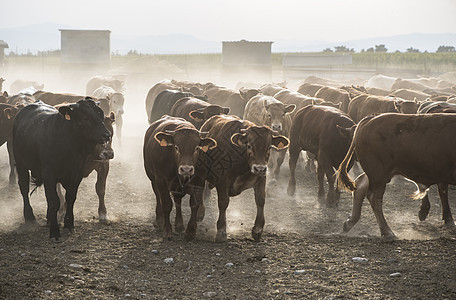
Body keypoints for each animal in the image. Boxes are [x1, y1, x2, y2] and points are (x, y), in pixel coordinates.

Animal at [13, 98, 111, 239]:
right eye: (86, 118)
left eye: (100, 115)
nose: (107, 134)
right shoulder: (49, 173)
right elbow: (55, 201)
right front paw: (54, 231)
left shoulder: (76, 173)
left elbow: (70, 198)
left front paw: (69, 224)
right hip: (21, 164)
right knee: (24, 188)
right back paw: (30, 217)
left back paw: (49, 218)